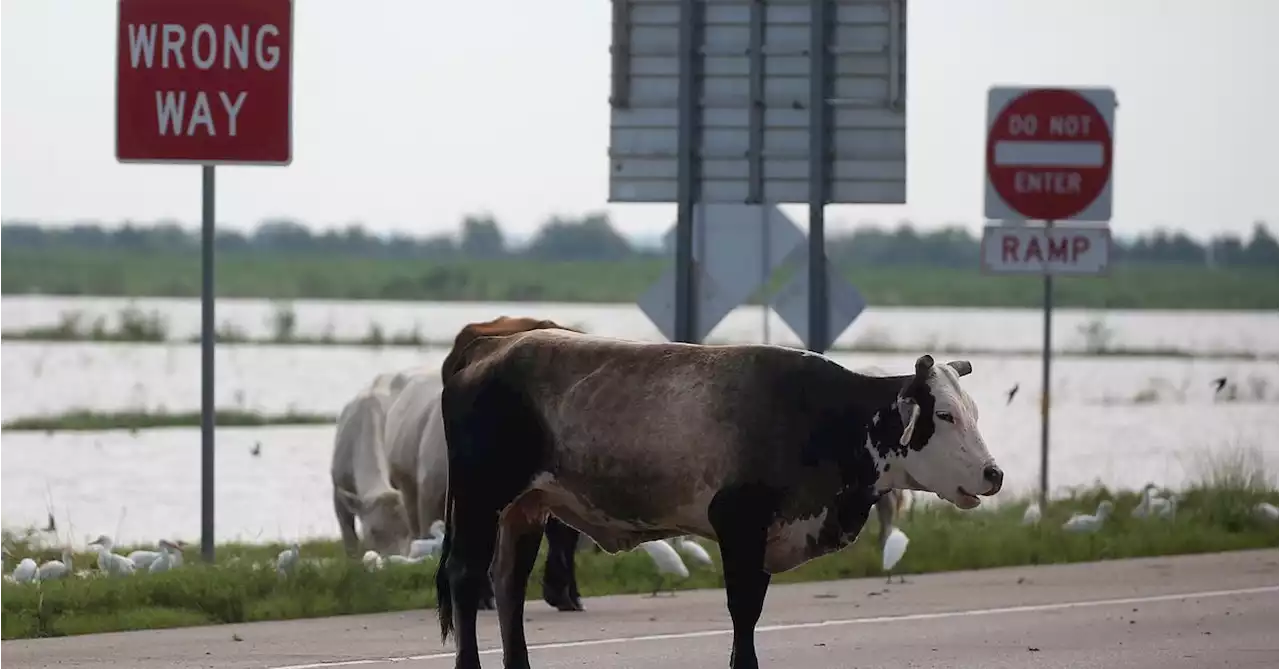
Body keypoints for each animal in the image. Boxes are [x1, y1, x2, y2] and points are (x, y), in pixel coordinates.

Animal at [435, 330, 1003, 669]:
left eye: (974, 412)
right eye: (945, 415)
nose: (994, 474)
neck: (823, 418)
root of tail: (495, 344)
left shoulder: (769, 536)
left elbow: (750, 611)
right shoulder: (739, 524)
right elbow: (742, 610)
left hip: (525, 506)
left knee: (508, 585)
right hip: (481, 498)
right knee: (467, 578)